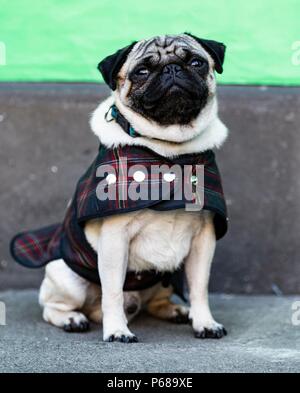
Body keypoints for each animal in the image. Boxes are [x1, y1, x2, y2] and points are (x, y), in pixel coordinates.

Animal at [38, 33, 229, 340]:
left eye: (196, 62)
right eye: (142, 71)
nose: (172, 69)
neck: (168, 151)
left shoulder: (204, 240)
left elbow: (200, 287)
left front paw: (205, 322)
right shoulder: (115, 241)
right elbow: (113, 292)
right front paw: (117, 331)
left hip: (163, 280)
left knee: (156, 301)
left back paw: (175, 310)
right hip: (66, 277)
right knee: (52, 307)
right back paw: (72, 318)